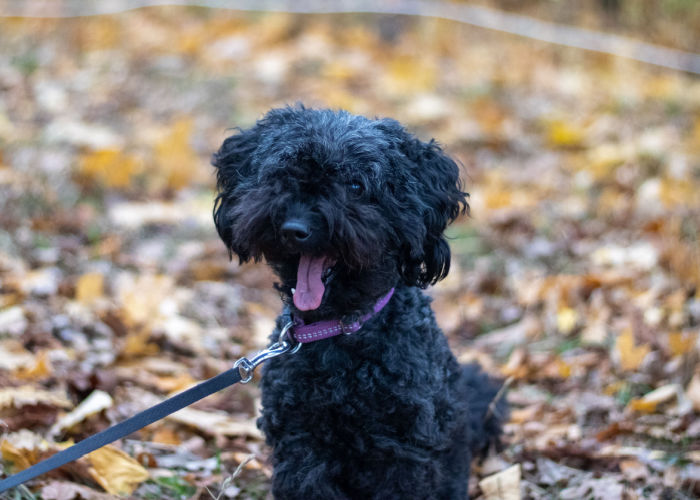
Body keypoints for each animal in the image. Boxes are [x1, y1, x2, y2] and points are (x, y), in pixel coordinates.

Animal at [211, 106, 506, 500]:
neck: (338, 330)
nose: (294, 229)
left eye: (355, 186)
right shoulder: (302, 443)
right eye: (283, 173)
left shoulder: (402, 448)